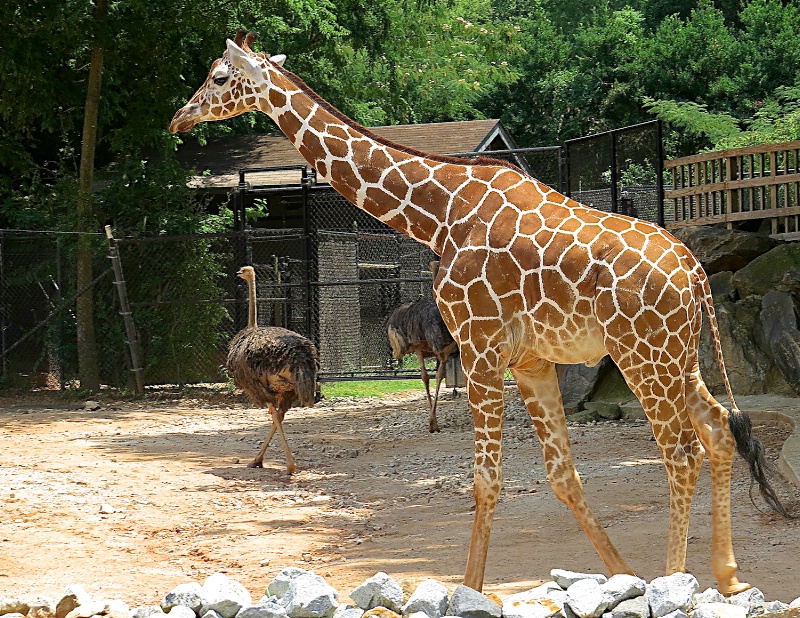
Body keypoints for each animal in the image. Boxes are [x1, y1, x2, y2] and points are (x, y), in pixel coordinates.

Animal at [169, 31, 788, 596]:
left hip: (643, 354)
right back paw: (728, 577)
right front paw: (621, 574)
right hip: (677, 356)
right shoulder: (530, 361)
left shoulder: (480, 346)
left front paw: (468, 587)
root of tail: (695, 270)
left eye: (219, 78)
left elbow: (486, 480)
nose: (179, 118)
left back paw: (675, 578)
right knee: (719, 431)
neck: (441, 213)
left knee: (681, 452)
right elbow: (563, 477)